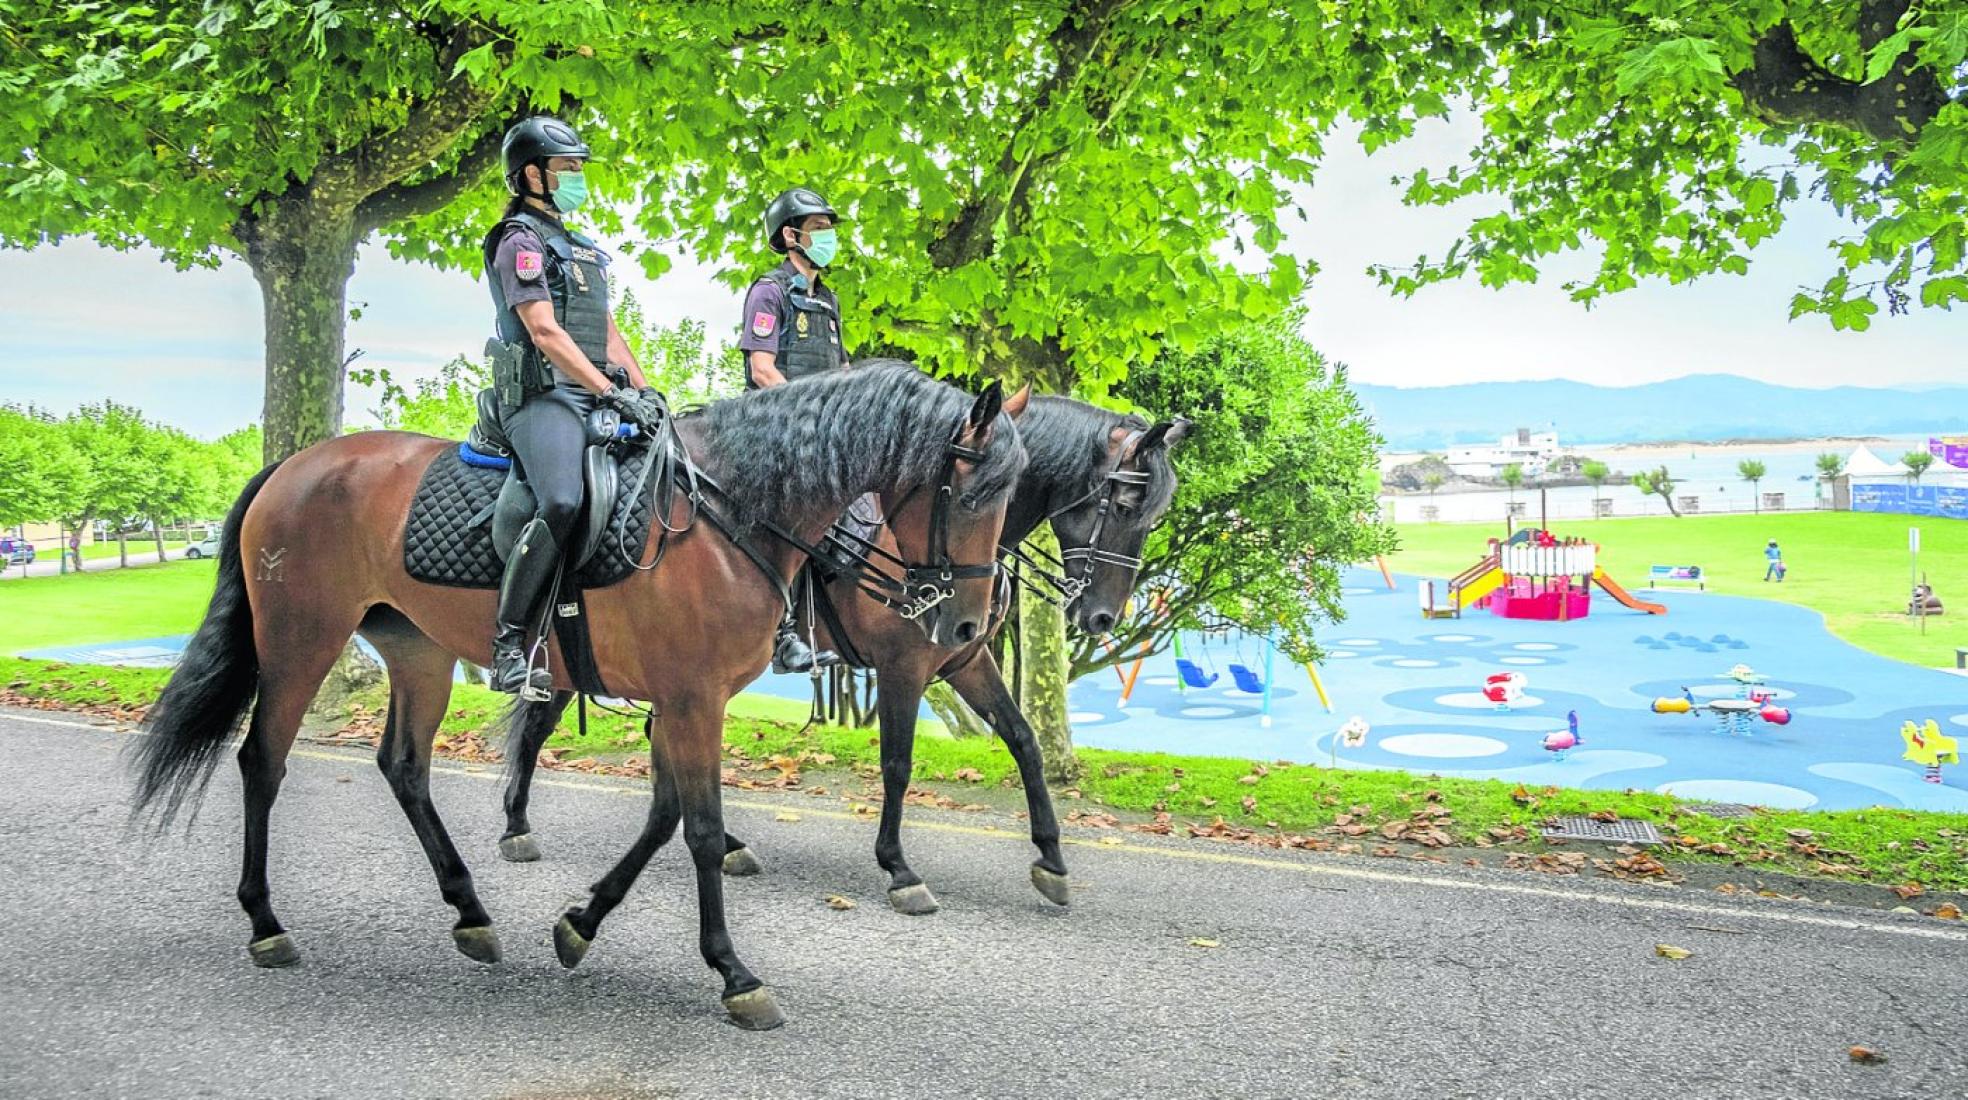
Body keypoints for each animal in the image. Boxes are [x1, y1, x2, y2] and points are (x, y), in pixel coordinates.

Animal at [128, 364, 1031, 1031]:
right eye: (971, 494)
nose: (965, 624)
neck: (729, 514)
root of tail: (294, 464)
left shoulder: (681, 699)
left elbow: (664, 819)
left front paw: (580, 925)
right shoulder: (694, 698)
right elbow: (701, 830)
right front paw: (734, 972)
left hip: (416, 650)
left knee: (405, 768)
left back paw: (469, 911)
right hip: (300, 641)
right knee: (262, 761)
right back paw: (266, 922)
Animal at [499, 393, 1188, 913]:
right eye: (1125, 503)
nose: (1101, 617)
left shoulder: (964, 661)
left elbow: (1024, 741)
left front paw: (1051, 857)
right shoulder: (904, 668)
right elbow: (898, 764)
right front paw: (898, 868)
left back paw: (722, 841)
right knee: (537, 727)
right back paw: (516, 826)